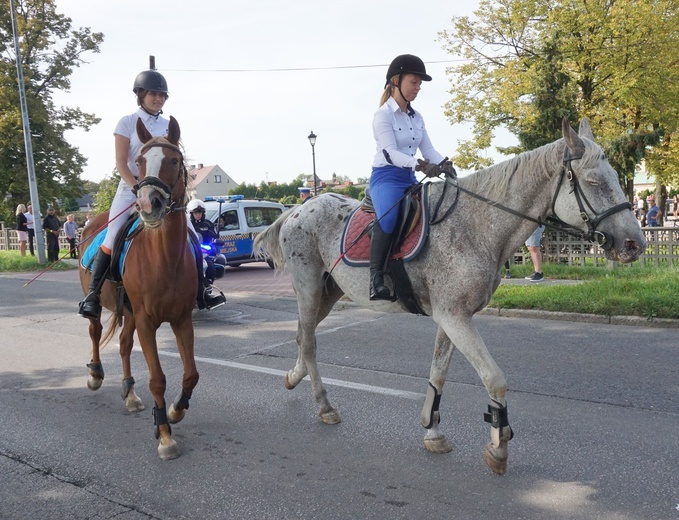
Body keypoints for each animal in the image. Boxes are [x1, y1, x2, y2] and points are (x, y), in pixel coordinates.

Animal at [79, 117, 199, 460]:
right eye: (140, 162)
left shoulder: (181, 319)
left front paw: (175, 410)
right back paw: (95, 376)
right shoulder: (147, 321)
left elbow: (191, 374)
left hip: (129, 312)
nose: (148, 204)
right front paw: (165, 435)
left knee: (122, 344)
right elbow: (157, 379)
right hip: (101, 304)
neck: (165, 259)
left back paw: (130, 394)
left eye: (174, 160)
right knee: (95, 332)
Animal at [254, 119, 644, 476]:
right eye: (593, 182)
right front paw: (498, 445)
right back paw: (324, 405)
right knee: (309, 341)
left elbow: (438, 373)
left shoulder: (454, 317)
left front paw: (433, 431)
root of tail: (297, 210)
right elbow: (494, 379)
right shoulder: (455, 318)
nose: (635, 243)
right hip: (309, 288)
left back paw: (294, 376)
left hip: (328, 293)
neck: (475, 227)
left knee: (302, 336)